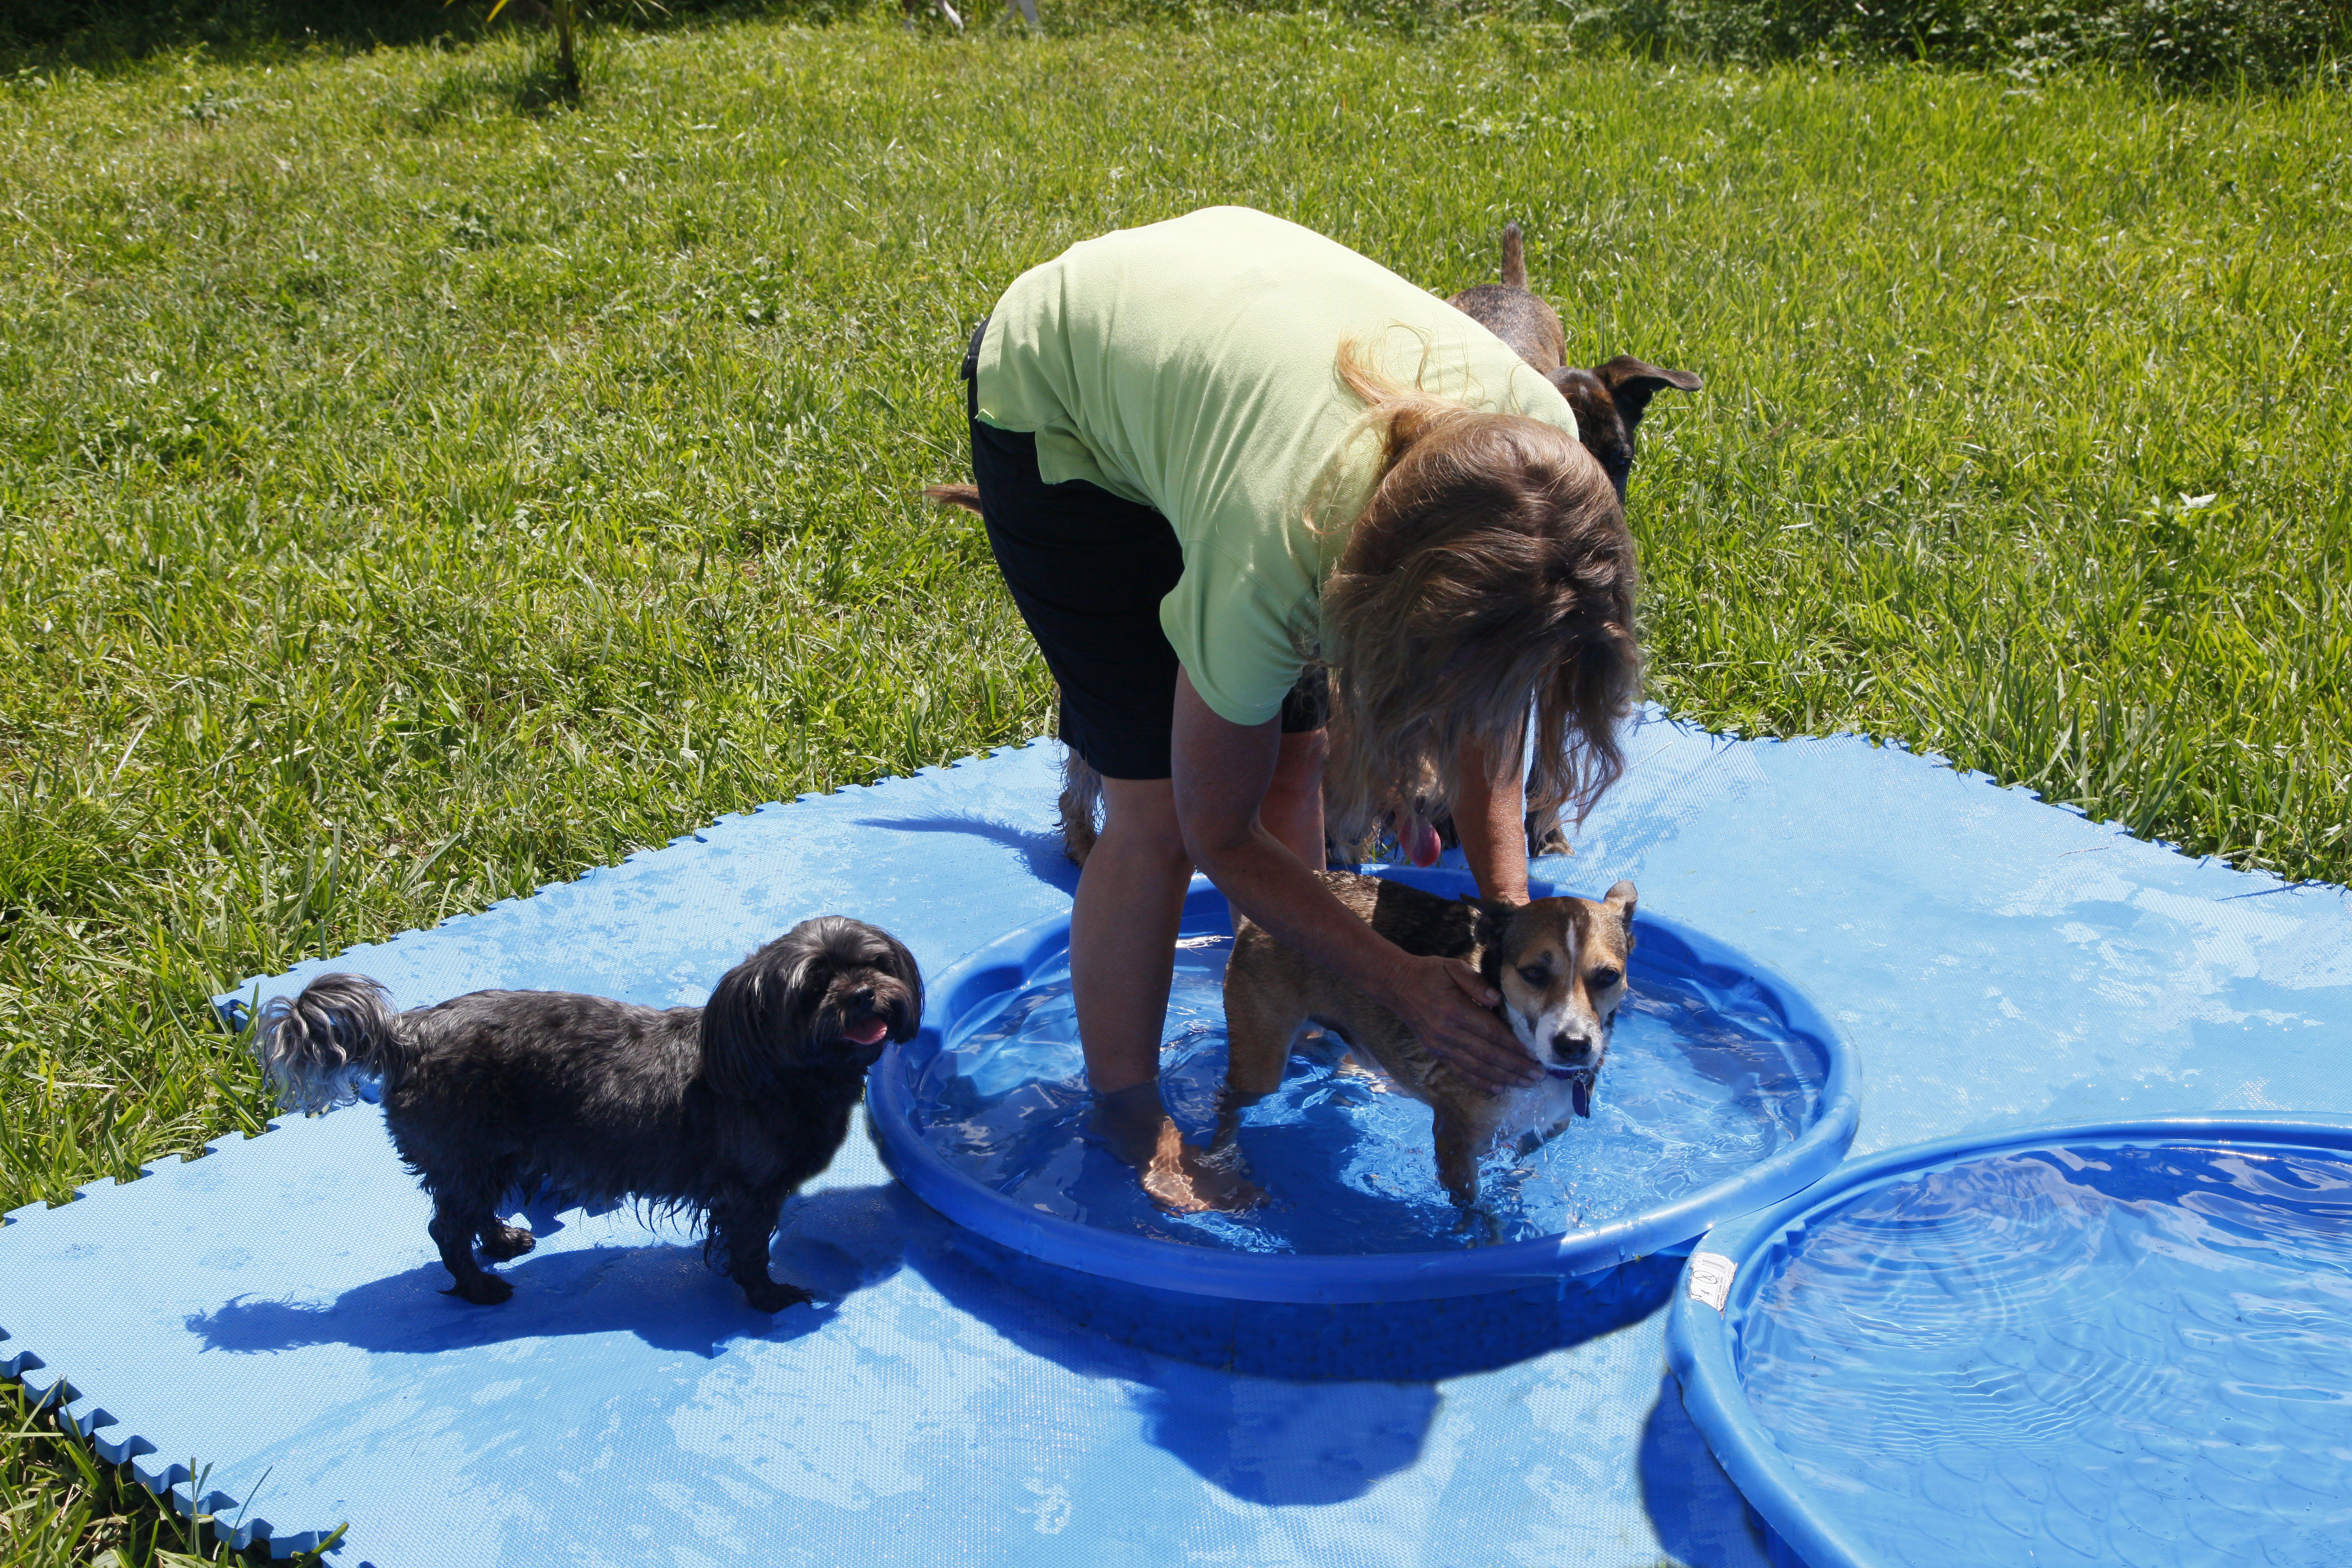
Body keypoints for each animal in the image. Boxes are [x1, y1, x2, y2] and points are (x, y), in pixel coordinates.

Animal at [255, 921, 917, 1316]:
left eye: (877, 964)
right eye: (813, 988)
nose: (863, 994)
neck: (778, 1067)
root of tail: (408, 1035)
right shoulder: (750, 1195)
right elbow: (751, 1251)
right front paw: (769, 1297)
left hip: (491, 1158)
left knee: (471, 1215)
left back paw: (503, 1241)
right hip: (468, 1155)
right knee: (446, 1230)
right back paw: (480, 1289)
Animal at [1213, 869, 1637, 1213]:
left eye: (1608, 977)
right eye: (1534, 973)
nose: (1574, 1044)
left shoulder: (1549, 1126)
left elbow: (1517, 1160)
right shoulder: (1455, 1142)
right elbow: (1475, 1210)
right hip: (1261, 1058)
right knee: (1232, 1106)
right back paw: (1221, 1169)